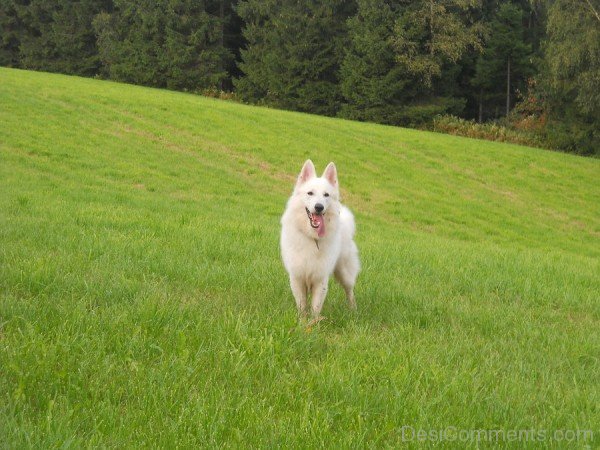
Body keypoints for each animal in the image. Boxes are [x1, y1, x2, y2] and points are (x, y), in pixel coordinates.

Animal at [278, 160, 358, 318]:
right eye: (310, 193)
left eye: (326, 195)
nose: (319, 207)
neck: (311, 237)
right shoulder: (297, 277)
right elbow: (302, 306)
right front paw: (302, 322)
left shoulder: (321, 280)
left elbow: (315, 308)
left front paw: (313, 323)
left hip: (344, 272)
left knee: (349, 290)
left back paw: (353, 309)